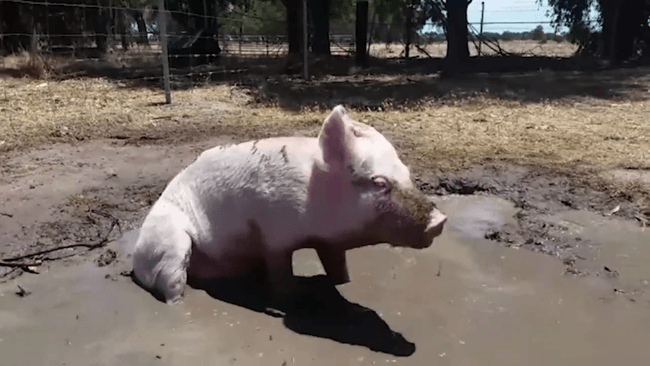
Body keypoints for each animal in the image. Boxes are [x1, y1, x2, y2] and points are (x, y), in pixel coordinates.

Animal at [132, 104, 446, 310]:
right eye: (379, 182)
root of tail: (134, 260)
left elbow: (337, 266)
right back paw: (179, 304)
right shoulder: (273, 233)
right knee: (171, 282)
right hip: (170, 239)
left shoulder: (330, 243)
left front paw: (344, 284)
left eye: (407, 173)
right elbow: (280, 269)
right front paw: (290, 299)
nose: (440, 220)